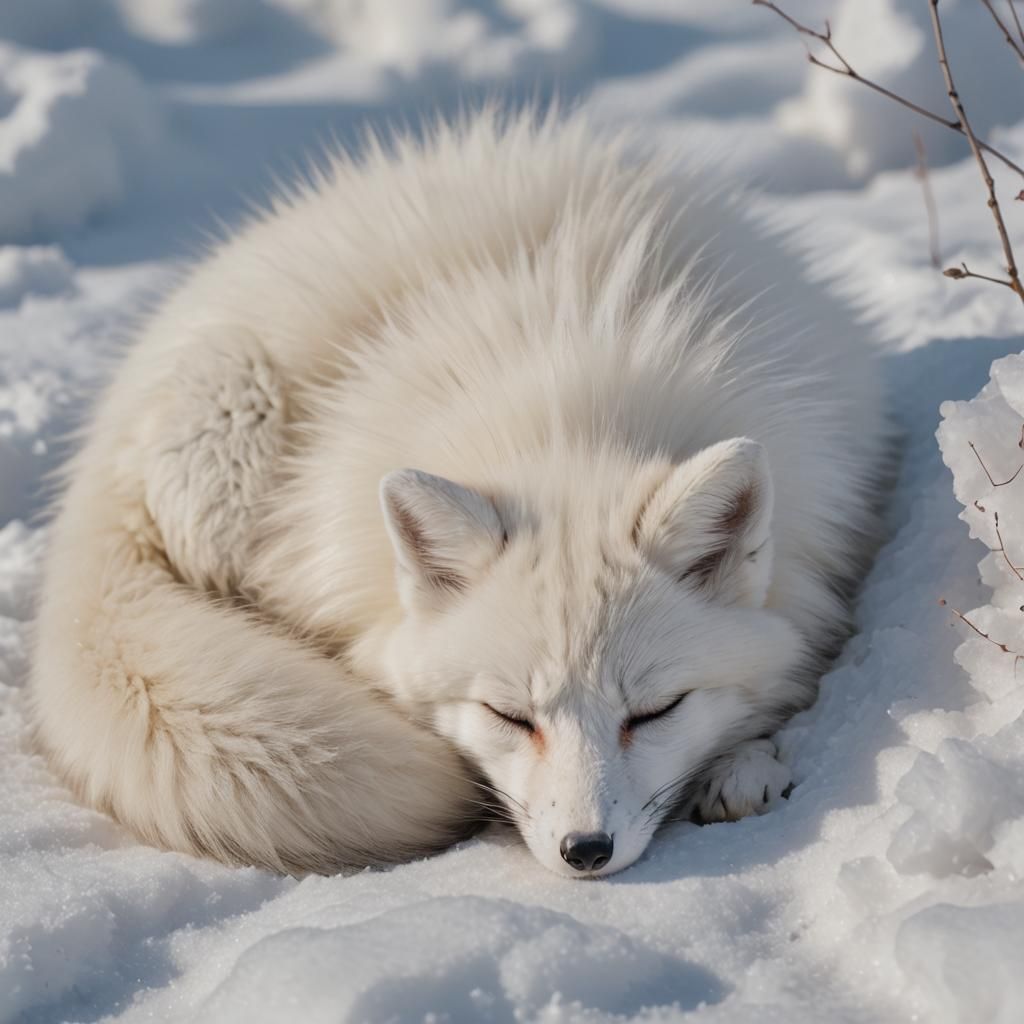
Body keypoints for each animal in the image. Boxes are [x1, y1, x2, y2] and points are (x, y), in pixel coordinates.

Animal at [30, 109, 885, 878]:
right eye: (509, 715)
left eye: (654, 711)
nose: (586, 850)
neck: (568, 416)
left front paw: (744, 762)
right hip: (227, 429)